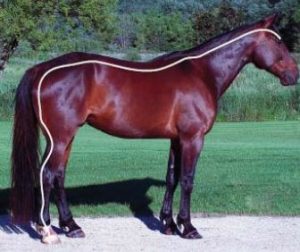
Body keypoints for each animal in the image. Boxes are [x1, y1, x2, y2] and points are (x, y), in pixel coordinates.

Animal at [9, 14, 298, 244]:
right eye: (278, 42)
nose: (294, 75)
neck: (201, 72)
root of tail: (42, 69)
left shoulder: (176, 139)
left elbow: (172, 177)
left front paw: (168, 224)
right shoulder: (193, 138)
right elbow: (188, 180)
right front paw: (188, 227)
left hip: (64, 139)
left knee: (58, 176)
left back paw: (72, 226)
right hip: (59, 138)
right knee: (47, 175)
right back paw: (48, 231)